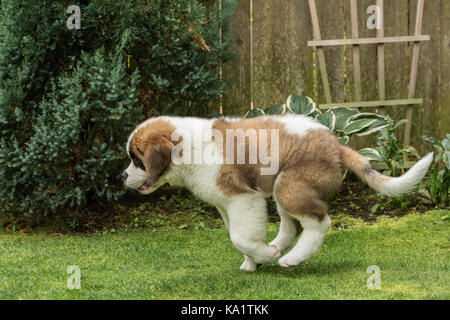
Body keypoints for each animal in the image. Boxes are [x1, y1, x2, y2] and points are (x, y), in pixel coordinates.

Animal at [122, 114, 432, 270]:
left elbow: (240, 237)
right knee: (291, 227)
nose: (123, 176)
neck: (186, 147)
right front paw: (253, 262)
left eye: (137, 159)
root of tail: (336, 145)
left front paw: (264, 257)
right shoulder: (226, 205)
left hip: (290, 185)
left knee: (318, 223)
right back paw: (279, 248)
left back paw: (290, 258)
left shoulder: (242, 198)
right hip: (283, 187)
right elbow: (239, 237)